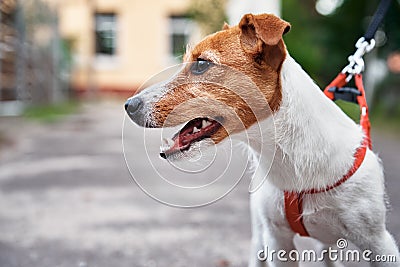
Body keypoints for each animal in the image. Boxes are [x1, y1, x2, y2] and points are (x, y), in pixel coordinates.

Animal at [124, 14, 396, 266]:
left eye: (201, 64)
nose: (129, 105)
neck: (293, 162)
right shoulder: (277, 240)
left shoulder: (379, 243)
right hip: (261, 239)